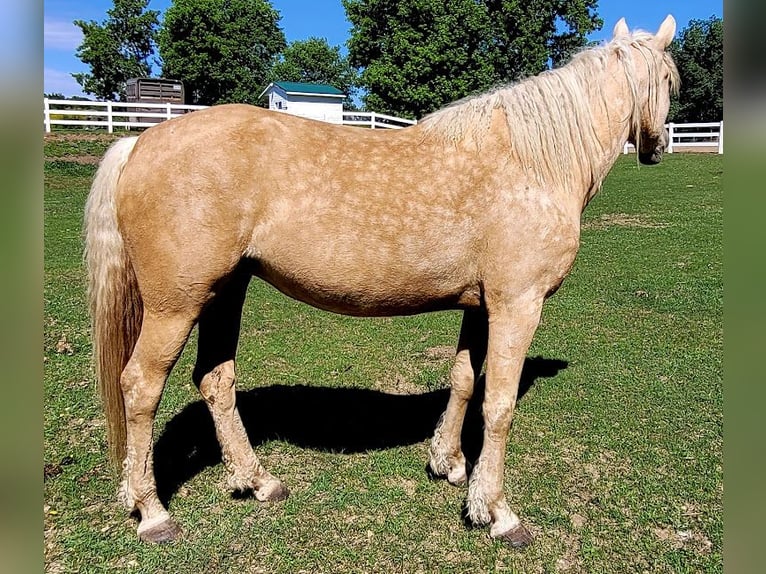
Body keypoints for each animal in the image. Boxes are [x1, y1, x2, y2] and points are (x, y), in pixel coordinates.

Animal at [85, 16, 680, 548]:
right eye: (672, 81)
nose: (657, 146)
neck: (531, 162)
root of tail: (139, 144)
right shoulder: (517, 304)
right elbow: (499, 405)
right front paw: (497, 512)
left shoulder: (479, 306)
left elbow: (465, 381)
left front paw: (448, 463)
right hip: (175, 306)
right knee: (140, 386)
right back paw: (153, 513)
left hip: (224, 291)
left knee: (214, 380)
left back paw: (258, 481)